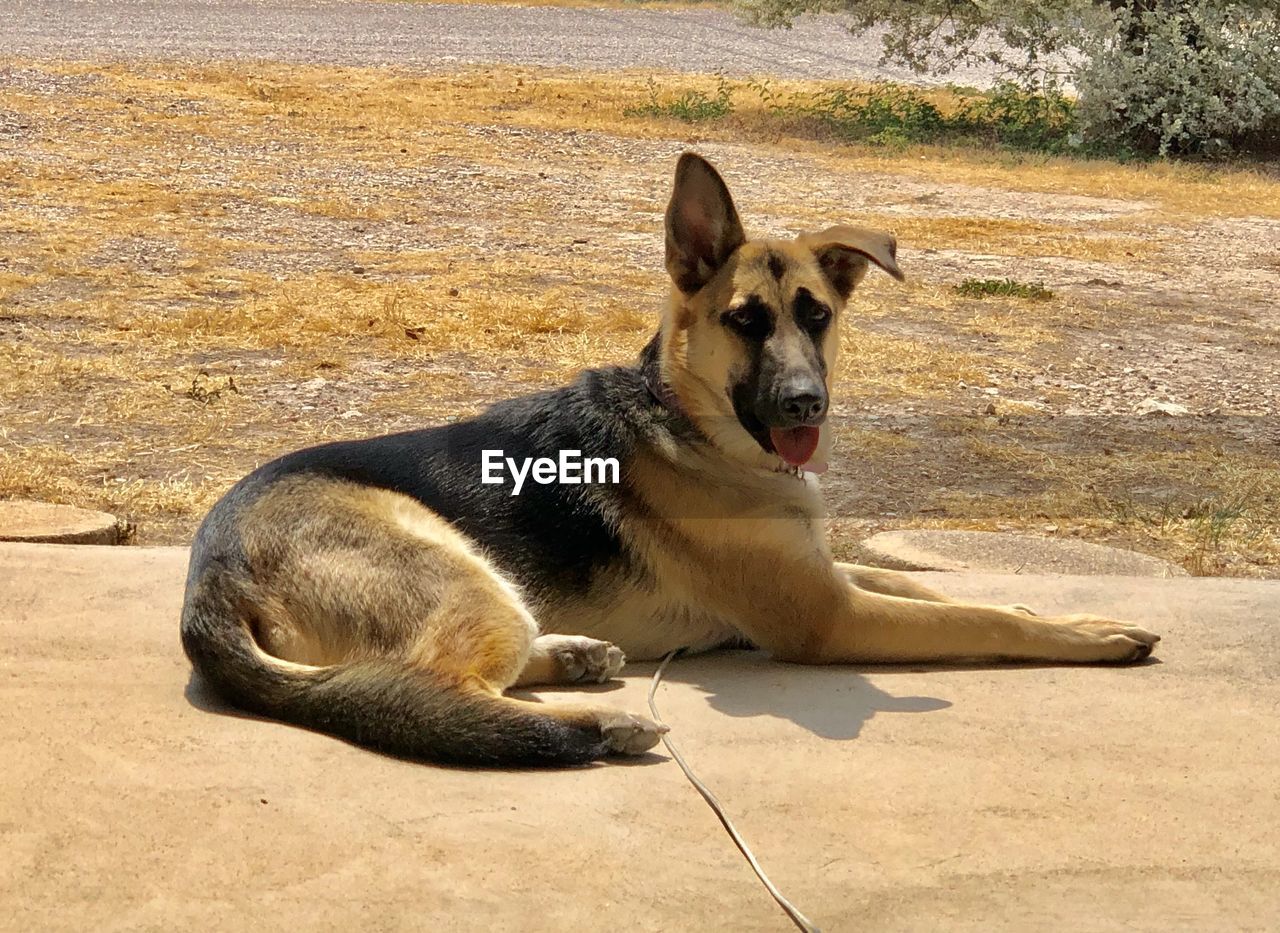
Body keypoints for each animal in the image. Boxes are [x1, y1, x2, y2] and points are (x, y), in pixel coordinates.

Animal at [183, 151, 1162, 762]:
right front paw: (1089, 632)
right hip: (457, 568)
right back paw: (596, 728)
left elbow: (934, 585)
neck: (693, 425)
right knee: (424, 687)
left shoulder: (827, 573)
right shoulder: (829, 618)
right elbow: (978, 617)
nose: (807, 404)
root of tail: (208, 574)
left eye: (816, 315)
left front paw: (1048, 602)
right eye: (745, 321)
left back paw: (578, 658)